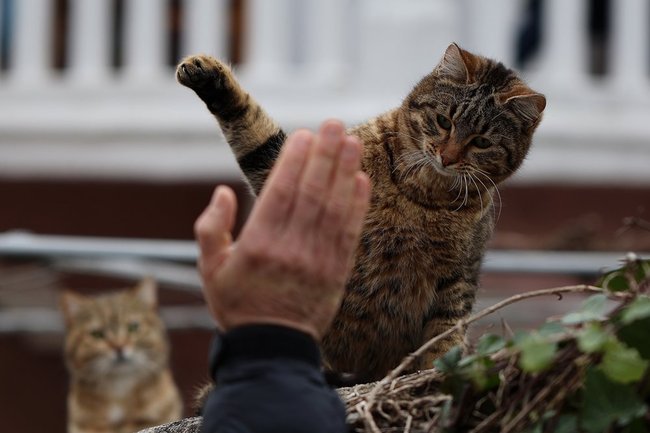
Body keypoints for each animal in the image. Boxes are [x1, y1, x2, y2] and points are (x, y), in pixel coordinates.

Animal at [176, 43, 540, 382]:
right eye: (443, 121)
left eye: (481, 142)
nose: (447, 158)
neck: (421, 195)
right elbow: (253, 127)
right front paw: (210, 77)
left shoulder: (459, 275)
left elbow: (446, 333)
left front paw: (438, 368)